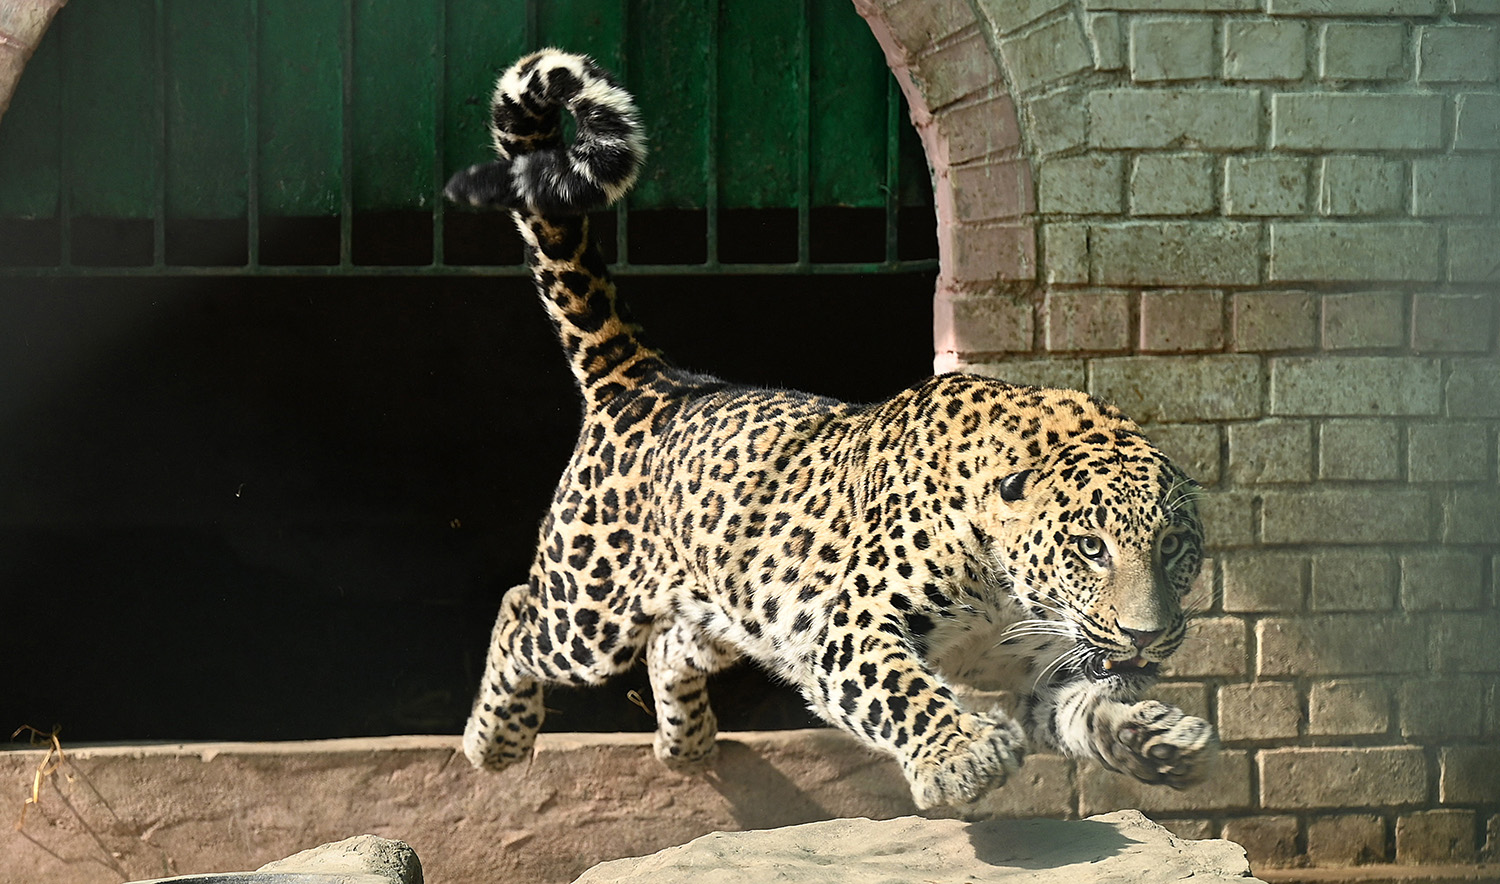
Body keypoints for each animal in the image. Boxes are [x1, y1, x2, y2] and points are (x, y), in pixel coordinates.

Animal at [444, 49, 1217, 811]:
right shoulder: (851, 625)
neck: (1011, 594)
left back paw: (685, 744)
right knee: (520, 612)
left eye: (1174, 547)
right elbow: (903, 688)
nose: (1147, 637)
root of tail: (652, 380)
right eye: (1090, 548)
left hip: (727, 611)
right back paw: (492, 741)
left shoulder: (1035, 670)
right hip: (590, 612)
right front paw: (960, 755)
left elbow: (1086, 704)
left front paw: (1158, 738)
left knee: (670, 647)